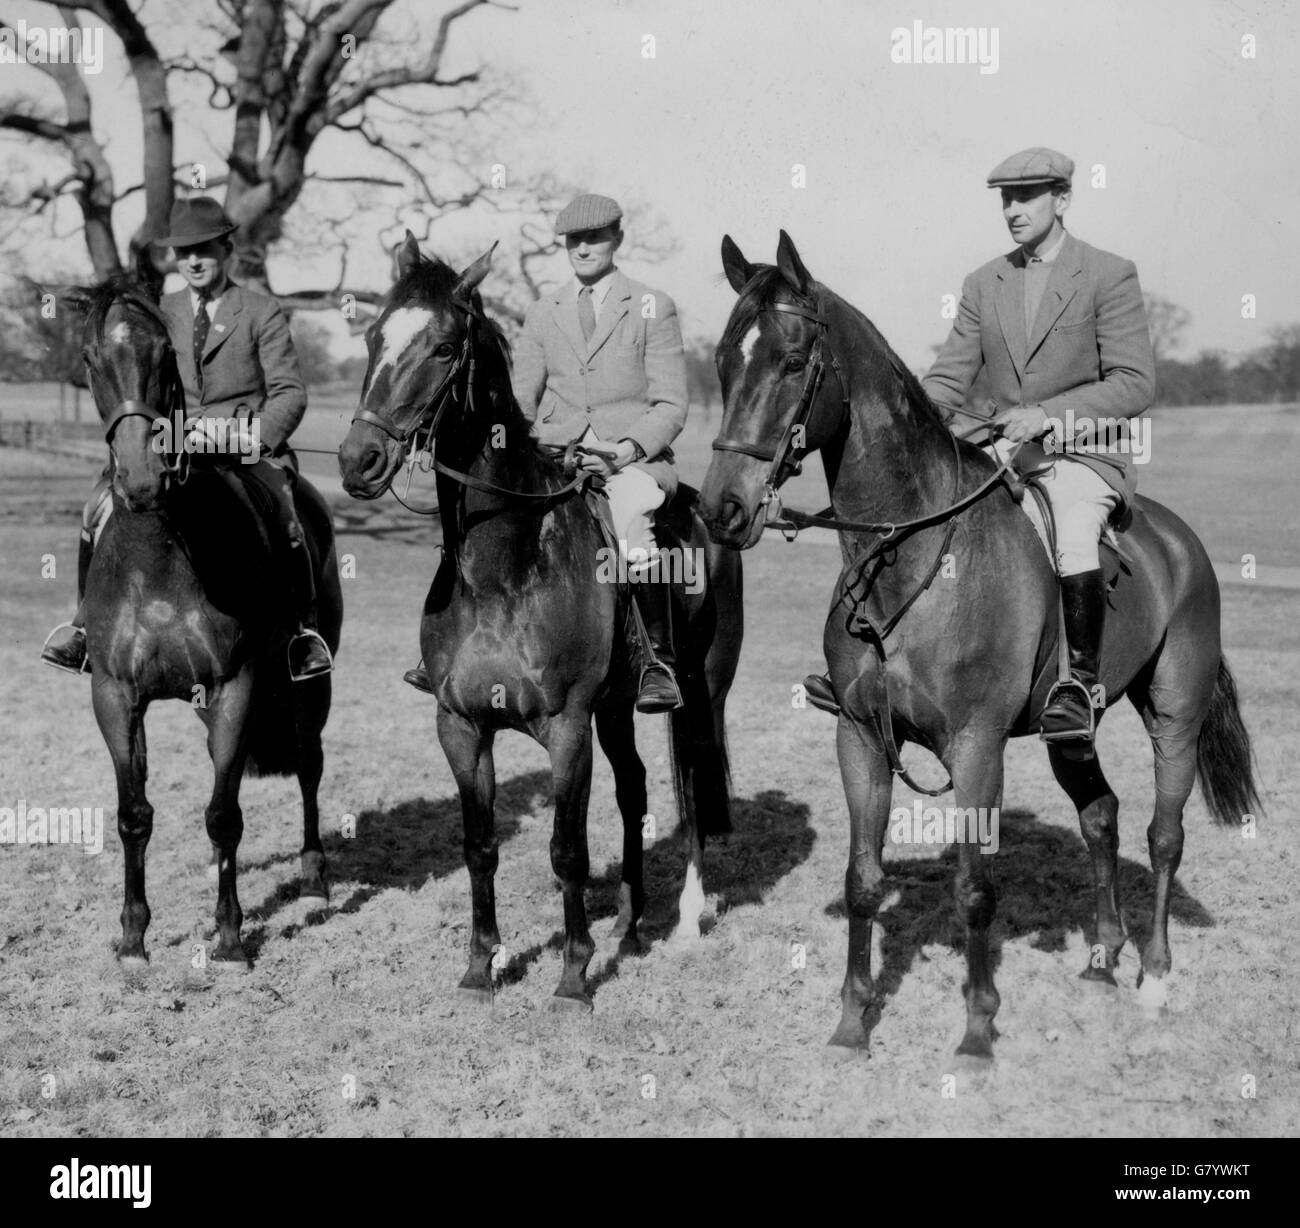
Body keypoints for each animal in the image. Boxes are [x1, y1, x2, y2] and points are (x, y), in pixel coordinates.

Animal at [62, 255, 343, 966]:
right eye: (90, 359)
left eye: (165, 357)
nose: (141, 479)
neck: (160, 556)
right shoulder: (115, 695)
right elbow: (134, 813)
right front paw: (133, 936)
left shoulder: (234, 685)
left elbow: (224, 813)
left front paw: (230, 935)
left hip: (309, 683)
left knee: (308, 762)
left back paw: (314, 875)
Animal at [335, 232, 743, 1008]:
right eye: (372, 337)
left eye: (442, 348)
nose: (357, 460)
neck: (504, 567)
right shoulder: (461, 727)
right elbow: (479, 845)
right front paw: (480, 965)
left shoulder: (566, 729)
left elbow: (566, 849)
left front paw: (574, 975)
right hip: (615, 710)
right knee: (636, 788)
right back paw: (629, 927)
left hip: (699, 694)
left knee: (692, 786)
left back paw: (684, 920)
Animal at [702, 230, 1258, 1055]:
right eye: (721, 361)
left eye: (794, 360)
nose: (721, 509)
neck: (904, 560)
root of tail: (1180, 540)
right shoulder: (859, 738)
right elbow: (862, 880)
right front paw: (852, 1022)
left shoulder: (975, 747)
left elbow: (973, 888)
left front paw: (977, 1029)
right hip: (1071, 732)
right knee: (1101, 815)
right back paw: (1102, 955)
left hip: (1175, 714)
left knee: (1164, 833)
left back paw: (1154, 976)